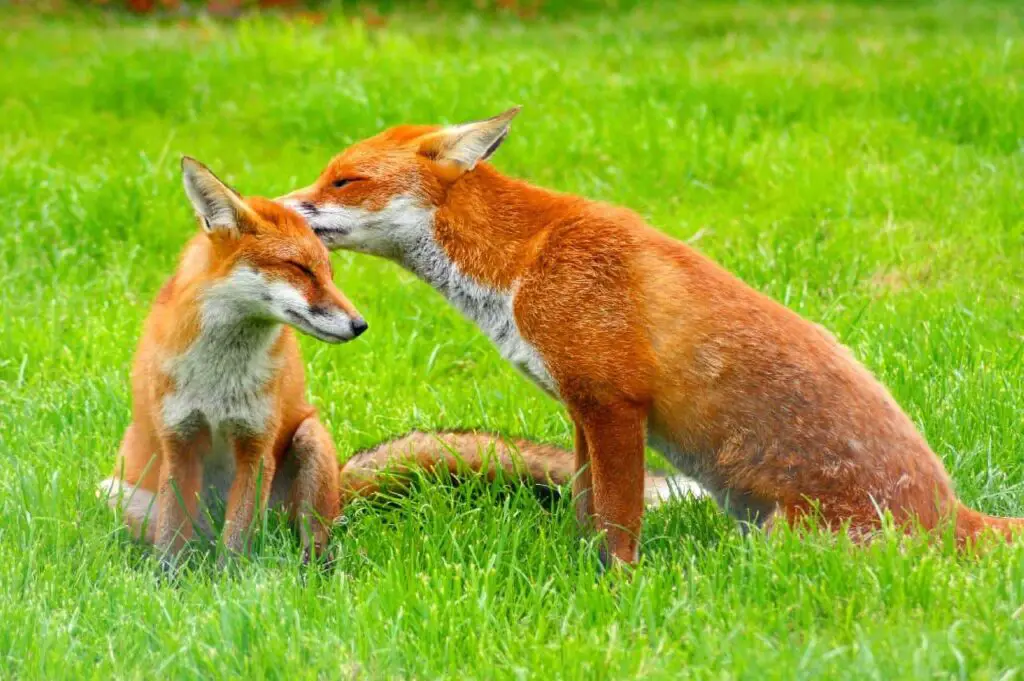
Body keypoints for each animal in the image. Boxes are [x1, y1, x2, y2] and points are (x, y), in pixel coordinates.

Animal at [98, 157, 368, 561]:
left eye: (329, 274)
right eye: (301, 268)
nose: (360, 324)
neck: (218, 380)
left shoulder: (255, 446)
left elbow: (237, 544)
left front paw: (230, 577)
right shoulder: (179, 440)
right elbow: (171, 541)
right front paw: (166, 577)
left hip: (311, 442)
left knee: (311, 540)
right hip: (112, 491)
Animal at [280, 106, 1024, 561]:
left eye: (343, 179)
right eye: (325, 174)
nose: (273, 207)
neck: (520, 264)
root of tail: (955, 514)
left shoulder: (616, 403)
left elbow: (620, 522)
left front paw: (616, 587)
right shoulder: (581, 408)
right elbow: (585, 509)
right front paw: (577, 571)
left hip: (783, 538)